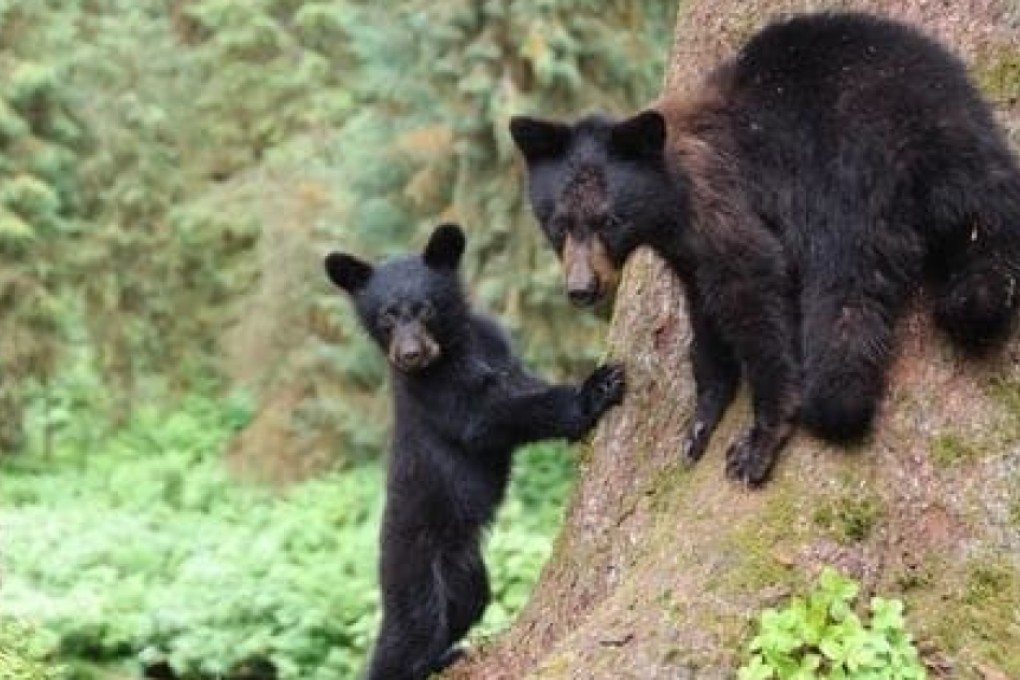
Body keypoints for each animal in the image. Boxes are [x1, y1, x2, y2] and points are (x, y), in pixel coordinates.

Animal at [324, 223, 626, 680]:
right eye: (386, 317)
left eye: (426, 309)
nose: (410, 354)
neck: (456, 348)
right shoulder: (434, 390)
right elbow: (486, 415)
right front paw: (595, 389)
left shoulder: (497, 346)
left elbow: (519, 382)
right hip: (413, 568)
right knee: (408, 633)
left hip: (464, 570)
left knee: (465, 605)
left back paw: (449, 654)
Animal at [509, 11, 1020, 486]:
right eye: (559, 223)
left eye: (610, 220)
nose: (583, 288)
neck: (671, 200)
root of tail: (925, 141)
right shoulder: (686, 250)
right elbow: (703, 313)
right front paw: (702, 418)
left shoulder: (722, 203)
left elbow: (753, 285)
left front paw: (760, 437)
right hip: (979, 160)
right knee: (990, 240)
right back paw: (976, 299)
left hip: (849, 181)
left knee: (844, 288)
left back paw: (835, 399)